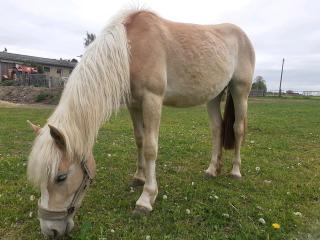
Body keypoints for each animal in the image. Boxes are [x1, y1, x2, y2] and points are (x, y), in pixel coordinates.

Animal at [26, 8, 255, 237]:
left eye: (61, 177)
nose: (50, 230)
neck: (130, 49)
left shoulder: (152, 99)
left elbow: (150, 148)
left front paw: (146, 199)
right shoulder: (134, 104)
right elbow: (139, 140)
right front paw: (139, 177)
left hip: (240, 91)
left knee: (238, 129)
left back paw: (235, 171)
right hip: (214, 96)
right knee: (217, 129)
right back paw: (212, 170)